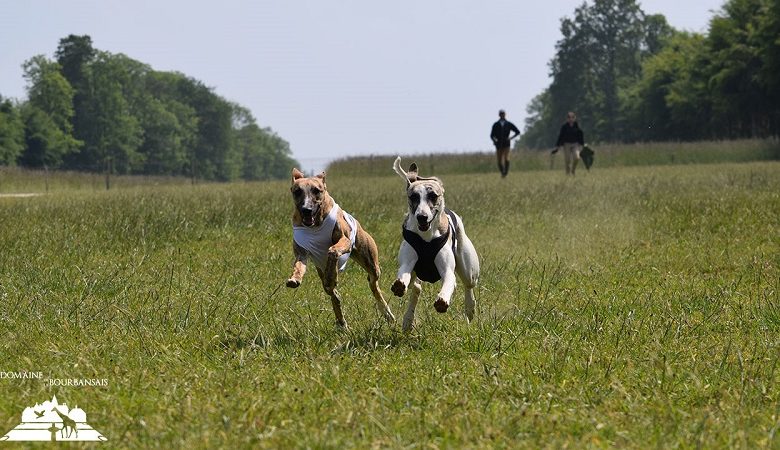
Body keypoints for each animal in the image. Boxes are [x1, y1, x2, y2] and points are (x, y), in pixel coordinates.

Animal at [286, 169, 396, 326]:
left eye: (317, 190)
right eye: (297, 191)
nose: (307, 210)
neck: (315, 225)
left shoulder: (345, 240)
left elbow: (333, 250)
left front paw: (332, 275)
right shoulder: (301, 253)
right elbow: (299, 266)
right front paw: (294, 279)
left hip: (370, 261)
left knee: (373, 283)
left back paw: (386, 312)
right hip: (321, 270)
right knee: (333, 293)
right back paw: (341, 321)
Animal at [388, 157, 478, 330]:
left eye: (433, 196)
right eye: (414, 197)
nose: (422, 217)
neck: (426, 237)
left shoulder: (447, 270)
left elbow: (449, 281)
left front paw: (442, 301)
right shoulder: (408, 262)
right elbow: (404, 274)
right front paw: (399, 285)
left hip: (468, 268)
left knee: (468, 285)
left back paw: (470, 308)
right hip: (416, 276)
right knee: (416, 288)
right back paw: (408, 320)